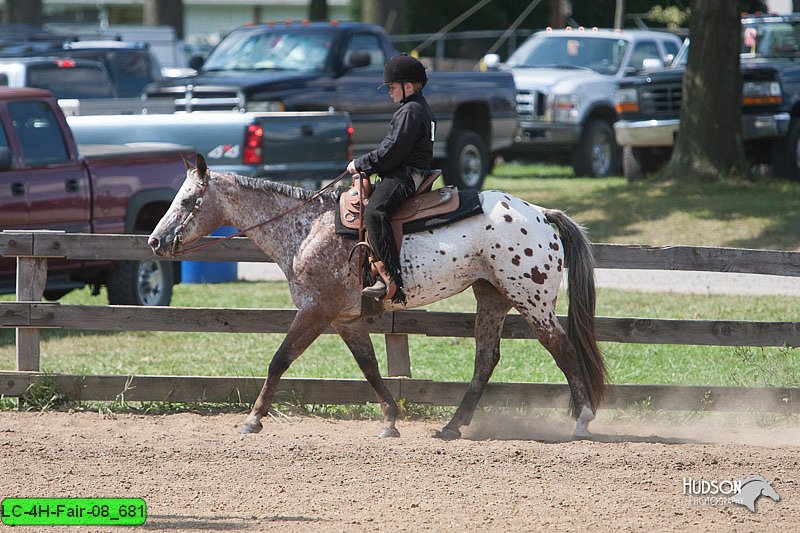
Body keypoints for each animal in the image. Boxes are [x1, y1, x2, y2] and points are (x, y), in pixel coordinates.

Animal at [148, 156, 608, 438]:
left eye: (188, 200)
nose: (155, 241)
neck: (306, 229)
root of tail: (541, 214)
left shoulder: (315, 311)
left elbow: (279, 360)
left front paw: (253, 420)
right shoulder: (344, 318)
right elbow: (368, 367)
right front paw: (390, 419)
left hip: (532, 300)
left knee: (562, 349)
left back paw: (582, 421)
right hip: (492, 296)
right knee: (486, 360)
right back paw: (451, 427)